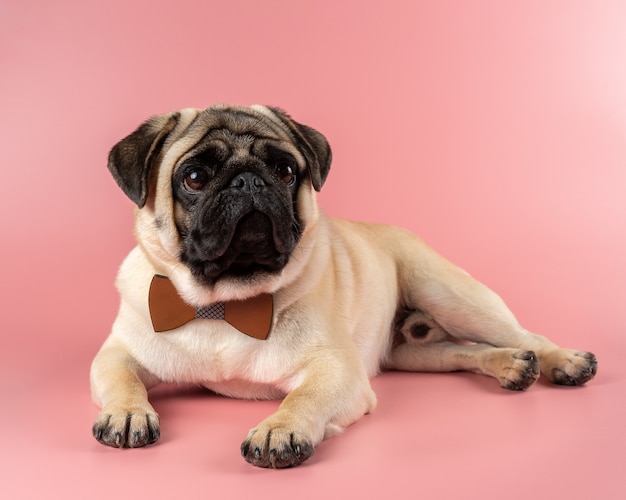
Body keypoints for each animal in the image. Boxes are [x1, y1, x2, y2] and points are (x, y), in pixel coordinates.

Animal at [91, 103, 596, 466]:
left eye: (285, 171)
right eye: (194, 178)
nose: (248, 181)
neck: (222, 303)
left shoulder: (338, 371)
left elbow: (304, 395)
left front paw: (279, 428)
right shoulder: (118, 353)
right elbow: (121, 379)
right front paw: (127, 413)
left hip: (452, 296)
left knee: (525, 335)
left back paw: (564, 361)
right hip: (413, 354)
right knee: (461, 352)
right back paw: (511, 366)